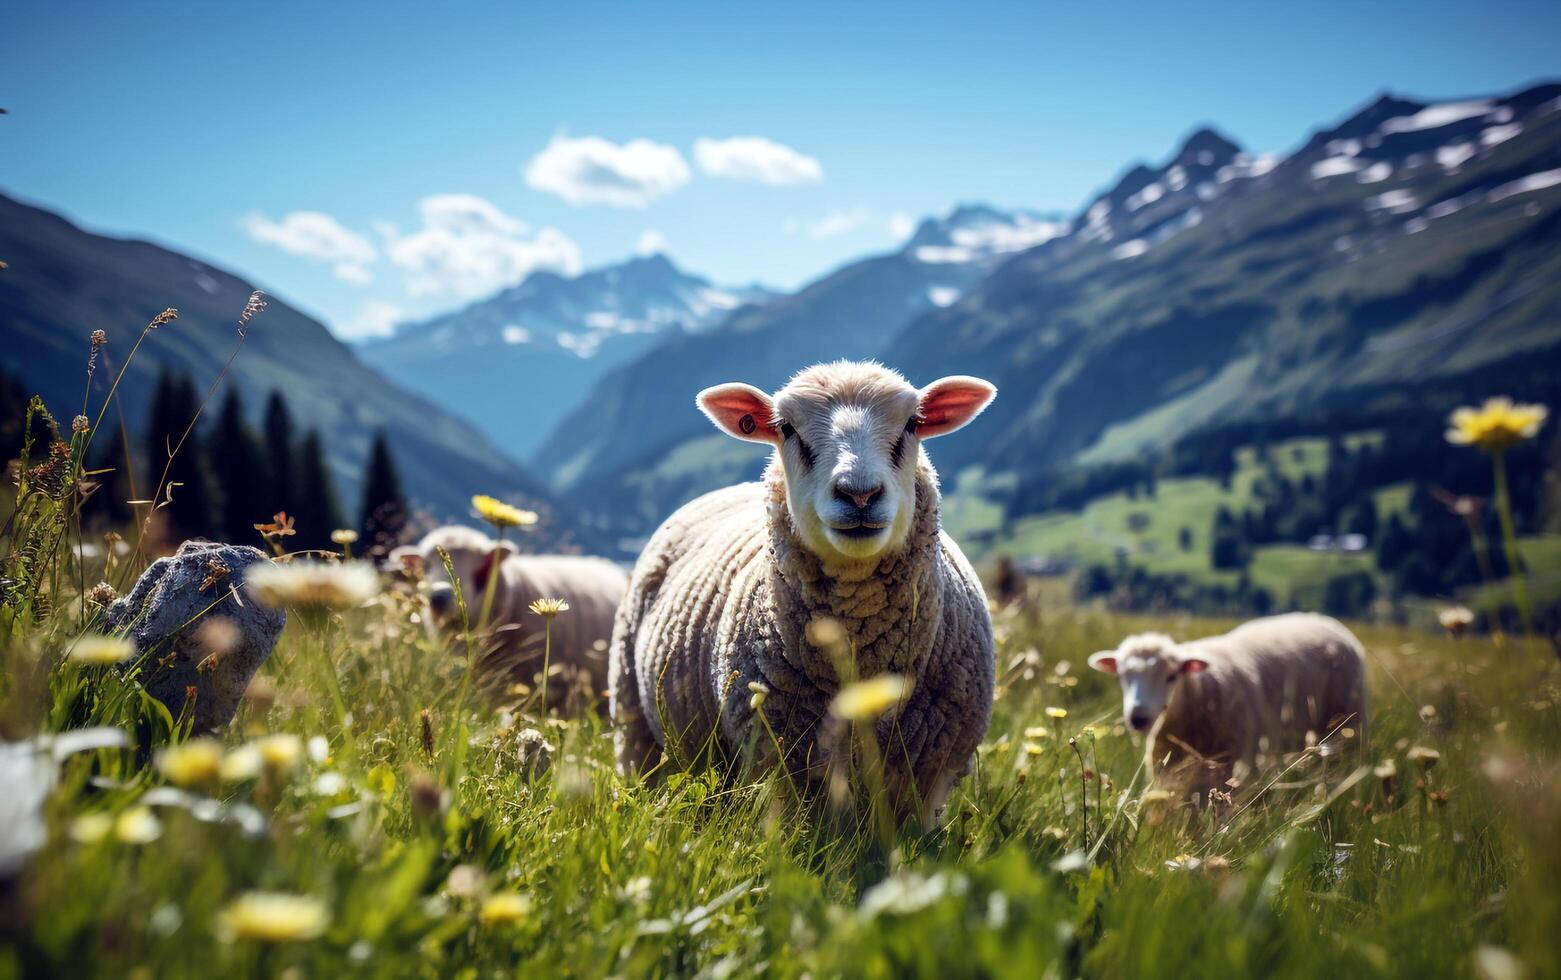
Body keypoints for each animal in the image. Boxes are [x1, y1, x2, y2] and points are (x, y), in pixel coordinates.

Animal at [608, 357, 999, 817]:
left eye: (912, 424)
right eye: (787, 428)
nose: (859, 494)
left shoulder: (928, 775)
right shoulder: (778, 758)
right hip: (634, 722)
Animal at [1086, 614, 1367, 798]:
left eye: (1171, 676)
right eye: (1123, 675)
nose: (1138, 717)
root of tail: (1326, 620)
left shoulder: (1238, 762)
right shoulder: (1166, 768)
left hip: (1349, 725)